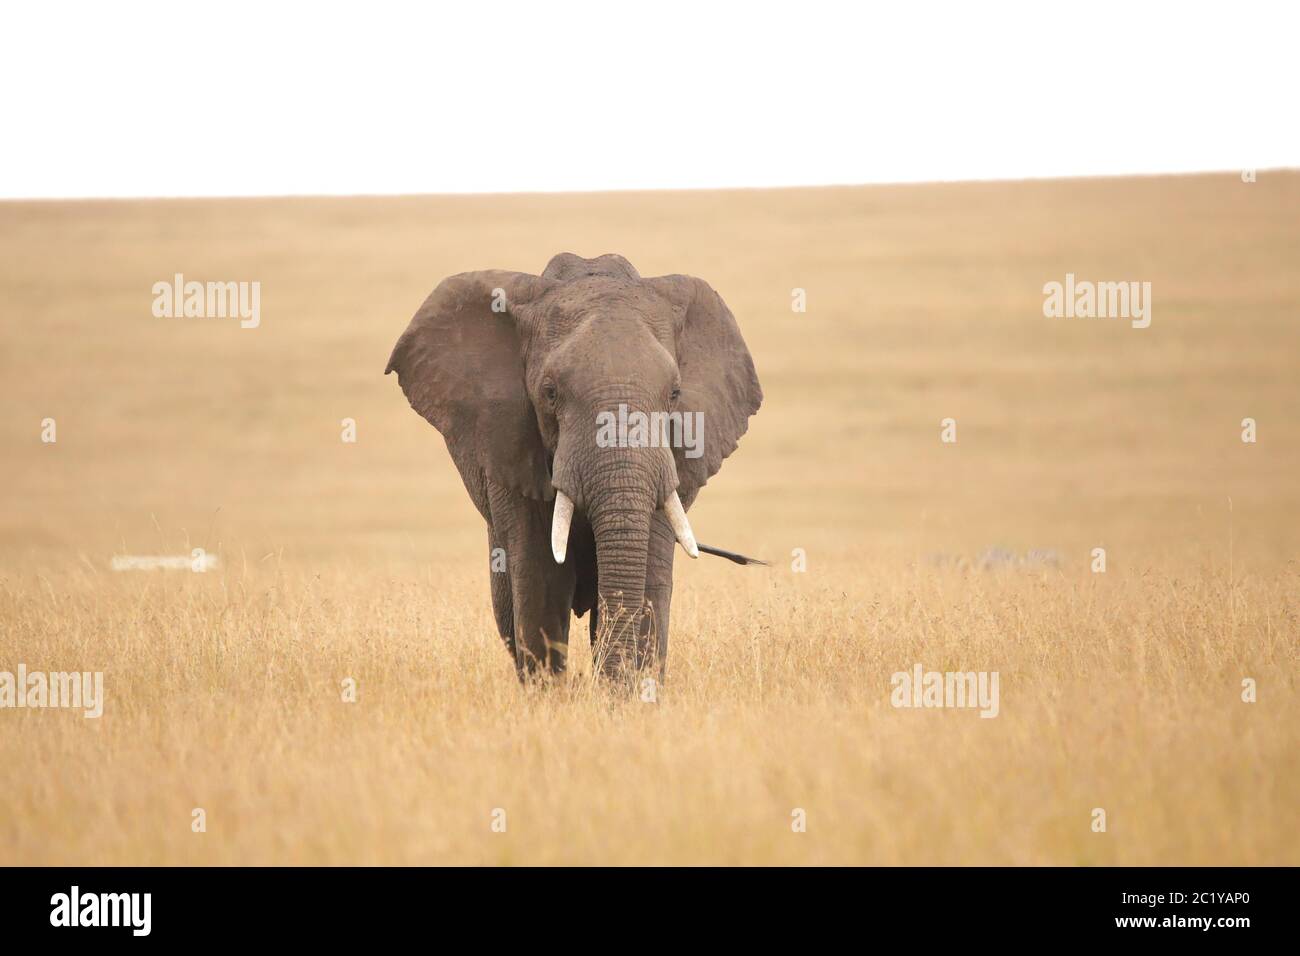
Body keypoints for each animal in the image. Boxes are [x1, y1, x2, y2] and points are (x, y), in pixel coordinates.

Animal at [390, 252, 764, 686]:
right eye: (550, 393)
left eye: (674, 394)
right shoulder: (510, 449)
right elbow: (540, 576)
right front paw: (550, 696)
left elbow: (649, 575)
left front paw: (632, 694)